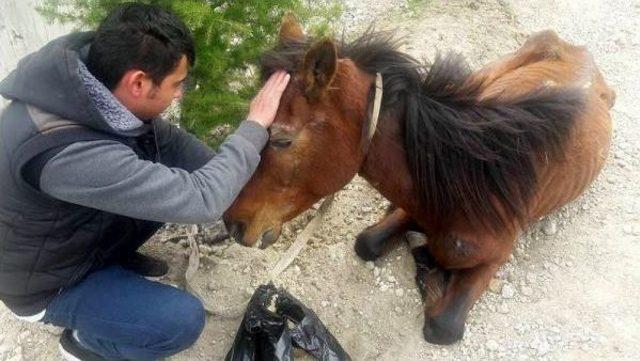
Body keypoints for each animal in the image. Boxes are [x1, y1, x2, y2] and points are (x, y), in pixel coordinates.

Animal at [221, 14, 616, 344]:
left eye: (282, 140)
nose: (232, 222)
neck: (468, 182)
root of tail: (580, 52)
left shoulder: (497, 256)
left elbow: (442, 325)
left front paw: (429, 270)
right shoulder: (413, 207)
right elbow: (368, 242)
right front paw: (420, 252)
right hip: (486, 76)